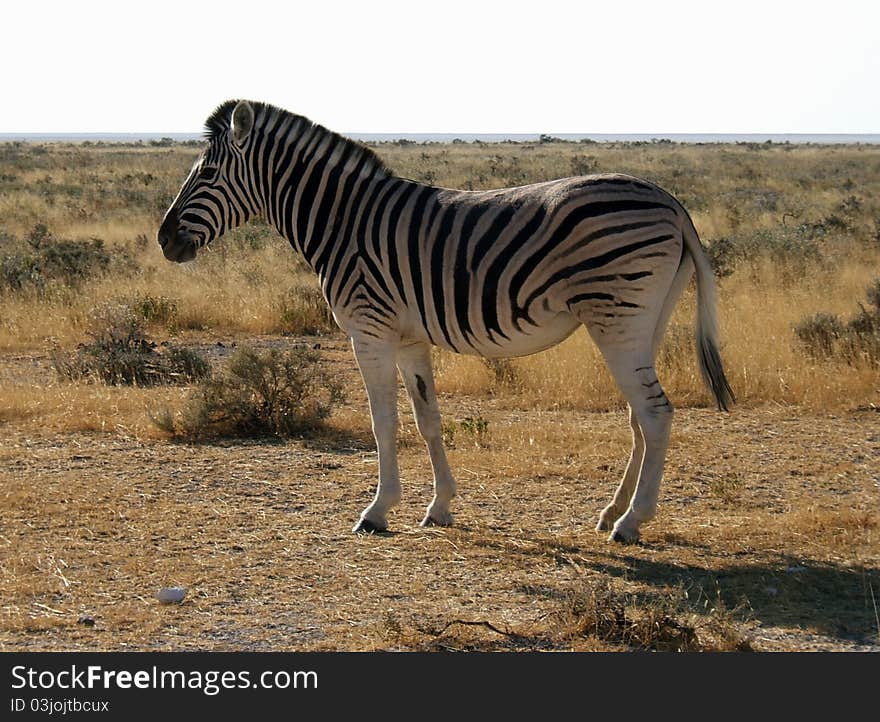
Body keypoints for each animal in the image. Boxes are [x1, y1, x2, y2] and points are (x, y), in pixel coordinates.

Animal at [160, 100, 736, 540]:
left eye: (206, 174)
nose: (164, 241)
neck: (344, 222)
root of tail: (670, 201)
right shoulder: (409, 338)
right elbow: (427, 420)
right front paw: (439, 508)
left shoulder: (369, 331)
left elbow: (384, 422)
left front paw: (376, 511)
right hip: (643, 320)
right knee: (640, 415)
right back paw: (611, 511)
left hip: (617, 316)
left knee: (656, 413)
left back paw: (631, 522)